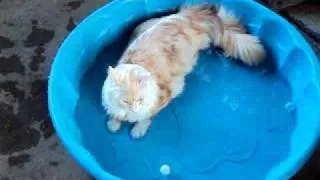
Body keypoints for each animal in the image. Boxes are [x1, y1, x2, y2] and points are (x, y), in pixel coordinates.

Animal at [102, 4, 264, 139]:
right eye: (125, 101)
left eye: (140, 100)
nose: (134, 109)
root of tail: (189, 15)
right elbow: (115, 115)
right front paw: (113, 124)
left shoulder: (167, 93)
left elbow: (147, 115)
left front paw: (138, 130)